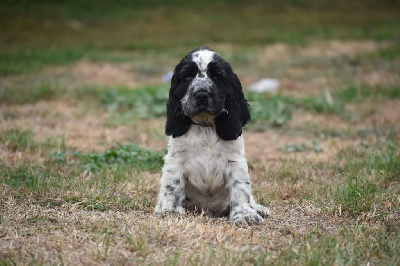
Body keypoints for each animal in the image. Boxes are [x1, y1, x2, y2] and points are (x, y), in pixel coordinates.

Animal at [155, 47, 270, 224]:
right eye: (187, 76)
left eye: (217, 76)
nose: (201, 94)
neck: (206, 127)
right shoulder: (176, 160)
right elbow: (173, 187)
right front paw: (171, 212)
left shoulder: (235, 160)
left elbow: (240, 188)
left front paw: (245, 215)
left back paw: (258, 208)